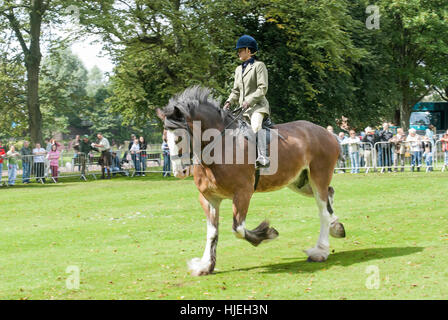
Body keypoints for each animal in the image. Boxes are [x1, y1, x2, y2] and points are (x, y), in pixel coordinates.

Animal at [158, 87, 346, 276]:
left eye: (179, 138)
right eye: (165, 137)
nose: (179, 172)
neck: (219, 146)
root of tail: (328, 133)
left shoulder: (242, 193)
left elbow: (238, 229)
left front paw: (267, 234)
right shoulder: (208, 198)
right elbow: (212, 232)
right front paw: (205, 265)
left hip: (318, 177)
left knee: (323, 210)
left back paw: (320, 251)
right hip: (299, 182)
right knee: (330, 195)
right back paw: (335, 226)